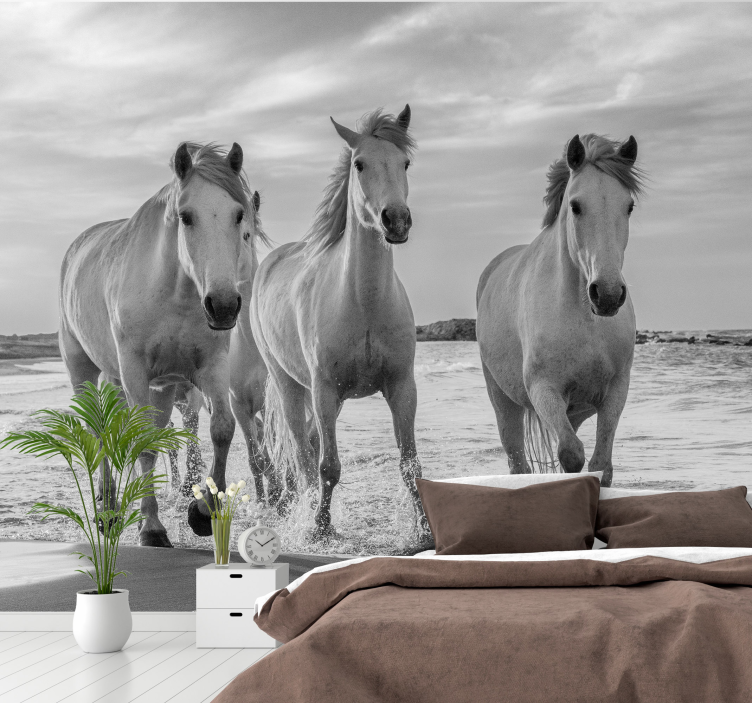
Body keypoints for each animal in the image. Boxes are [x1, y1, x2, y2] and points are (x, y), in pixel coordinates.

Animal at [59, 141, 268, 546]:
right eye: (186, 217)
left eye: (239, 216)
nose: (223, 305)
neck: (175, 294)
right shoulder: (135, 373)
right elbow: (142, 443)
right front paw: (152, 528)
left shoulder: (210, 367)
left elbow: (221, 428)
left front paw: (202, 510)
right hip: (84, 371)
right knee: (98, 433)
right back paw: (106, 510)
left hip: (157, 386)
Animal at [251, 105, 429, 538]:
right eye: (359, 164)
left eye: (405, 162)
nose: (396, 220)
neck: (363, 303)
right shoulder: (325, 391)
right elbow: (327, 466)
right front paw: (320, 527)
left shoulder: (402, 387)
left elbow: (410, 465)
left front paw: (424, 530)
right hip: (290, 385)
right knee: (301, 453)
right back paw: (301, 510)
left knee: (309, 446)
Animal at [476, 134, 645, 487]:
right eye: (575, 206)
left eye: (629, 207)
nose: (608, 294)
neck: (584, 318)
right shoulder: (544, 390)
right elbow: (571, 455)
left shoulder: (615, 391)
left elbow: (601, 465)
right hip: (504, 402)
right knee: (518, 464)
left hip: (574, 411)